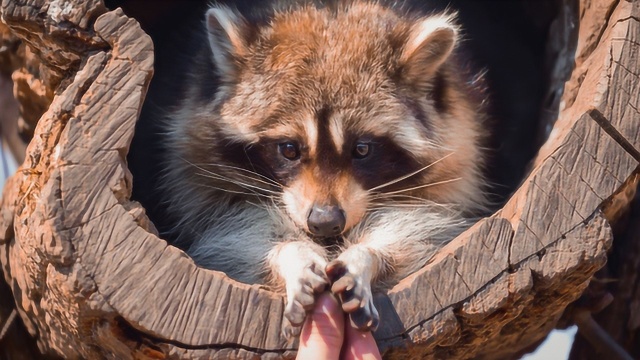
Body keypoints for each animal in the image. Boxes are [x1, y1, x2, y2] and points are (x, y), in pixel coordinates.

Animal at [160, 0, 484, 338]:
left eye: (362, 149)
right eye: (289, 149)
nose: (325, 222)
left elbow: (422, 232)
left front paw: (366, 257)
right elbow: (229, 242)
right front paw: (291, 256)